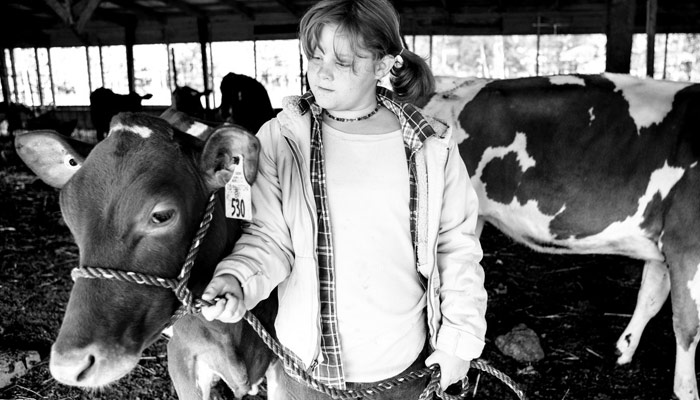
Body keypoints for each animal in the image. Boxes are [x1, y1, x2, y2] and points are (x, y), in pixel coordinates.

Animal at [422, 72, 700, 400]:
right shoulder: (687, 245)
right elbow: (687, 325)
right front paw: (687, 389)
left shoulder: (664, 244)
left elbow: (650, 299)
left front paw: (624, 350)